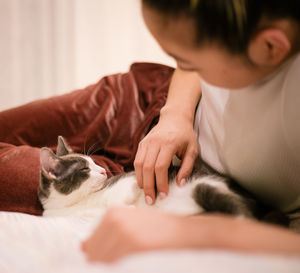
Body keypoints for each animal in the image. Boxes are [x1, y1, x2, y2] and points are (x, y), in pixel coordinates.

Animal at [38, 136, 264, 219]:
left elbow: (128, 185)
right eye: (85, 169)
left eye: (95, 162)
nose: (103, 170)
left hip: (206, 187)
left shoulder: (130, 178)